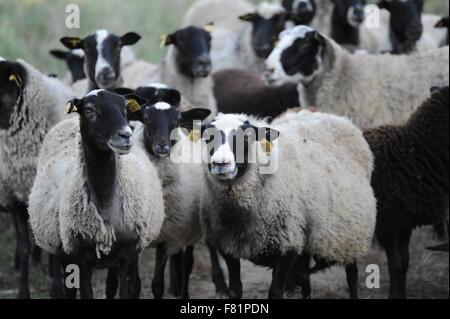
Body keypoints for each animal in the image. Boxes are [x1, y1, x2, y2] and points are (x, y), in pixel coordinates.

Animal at [26, 89, 163, 298]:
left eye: (125, 107)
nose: (125, 135)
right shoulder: (80, 259)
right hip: (65, 255)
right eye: (89, 109)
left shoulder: (128, 254)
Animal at [194, 111, 376, 298]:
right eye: (207, 138)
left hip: (351, 233)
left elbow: (275, 292)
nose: (221, 164)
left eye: (246, 137)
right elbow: (235, 290)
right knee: (304, 277)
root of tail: (334, 117)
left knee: (352, 274)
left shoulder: (287, 244)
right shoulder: (227, 247)